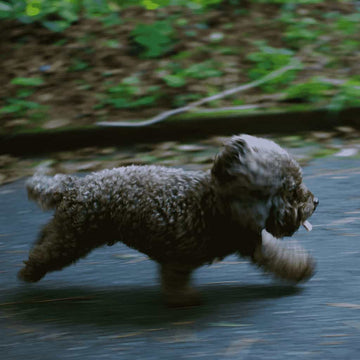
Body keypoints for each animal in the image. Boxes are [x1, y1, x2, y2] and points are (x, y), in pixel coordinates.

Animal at [19, 135, 318, 306]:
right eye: (292, 191)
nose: (315, 202)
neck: (217, 204)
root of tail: (75, 185)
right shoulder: (179, 257)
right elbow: (174, 283)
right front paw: (184, 300)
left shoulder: (252, 242)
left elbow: (279, 258)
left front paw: (300, 268)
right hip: (74, 238)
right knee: (46, 254)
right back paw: (30, 272)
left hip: (69, 229)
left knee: (46, 235)